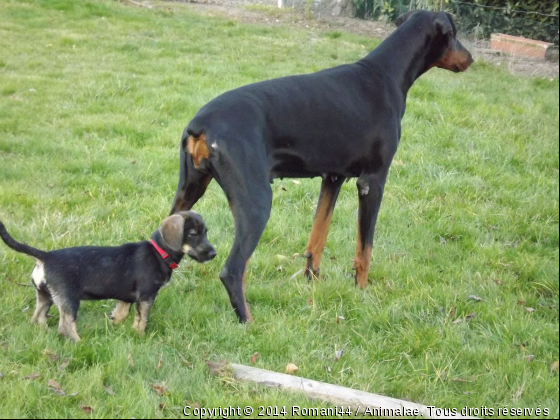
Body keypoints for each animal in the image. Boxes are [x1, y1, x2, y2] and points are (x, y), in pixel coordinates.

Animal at [0, 212, 215, 342]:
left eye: (206, 232)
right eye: (193, 234)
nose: (213, 254)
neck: (159, 252)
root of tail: (45, 256)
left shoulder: (127, 297)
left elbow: (121, 314)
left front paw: (116, 327)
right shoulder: (146, 296)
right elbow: (142, 319)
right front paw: (139, 335)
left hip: (45, 296)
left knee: (38, 317)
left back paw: (42, 333)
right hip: (69, 299)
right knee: (65, 326)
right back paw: (80, 343)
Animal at [170, 12, 472, 322]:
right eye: (455, 34)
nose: (470, 58)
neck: (387, 76)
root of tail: (201, 124)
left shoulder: (333, 178)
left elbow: (318, 236)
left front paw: (312, 279)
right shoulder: (372, 181)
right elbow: (365, 248)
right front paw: (362, 291)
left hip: (190, 189)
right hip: (256, 202)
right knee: (233, 270)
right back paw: (249, 321)